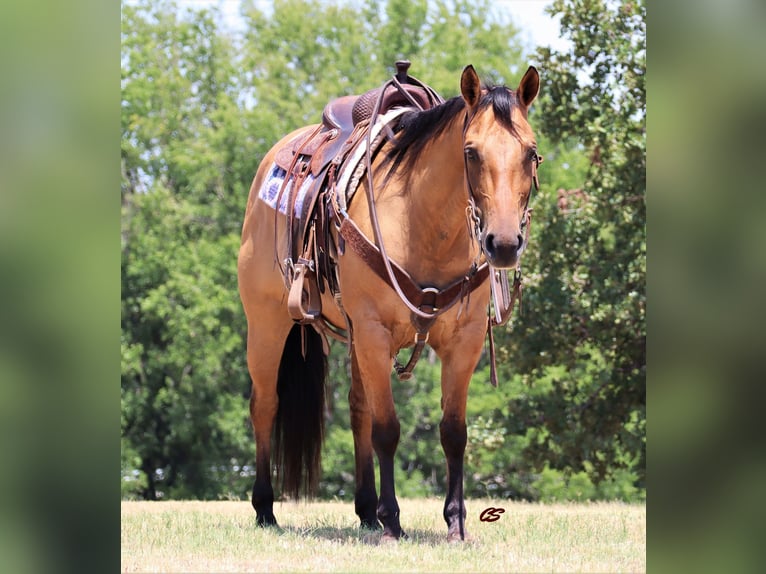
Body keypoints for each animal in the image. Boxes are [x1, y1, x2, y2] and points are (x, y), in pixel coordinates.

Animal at [237, 63, 544, 544]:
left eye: (530, 153)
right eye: (471, 152)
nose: (505, 243)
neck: (425, 226)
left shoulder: (464, 342)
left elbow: (453, 432)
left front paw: (455, 523)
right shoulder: (375, 332)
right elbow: (387, 430)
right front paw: (393, 522)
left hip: (351, 338)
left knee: (357, 408)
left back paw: (365, 511)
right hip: (268, 324)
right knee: (265, 405)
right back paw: (267, 509)